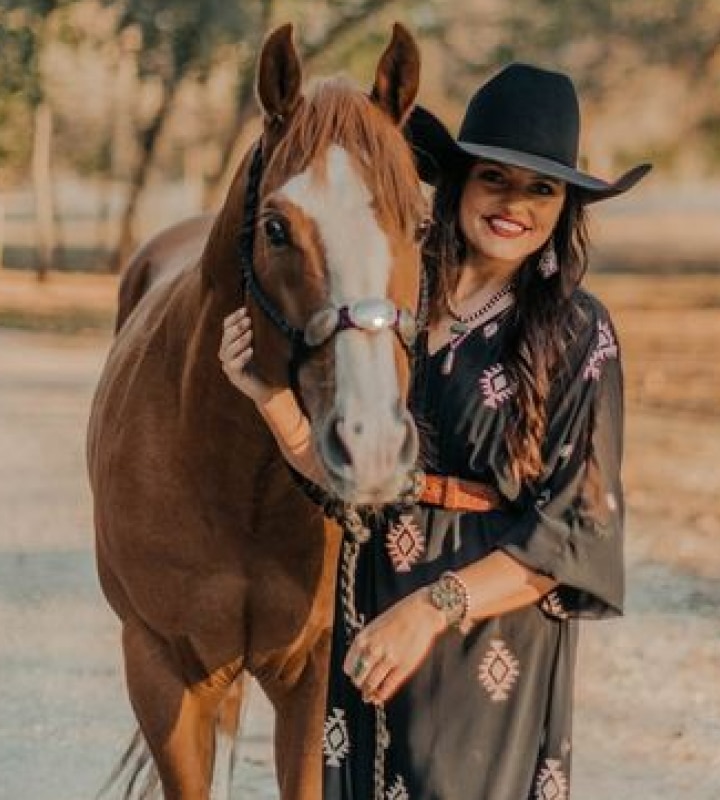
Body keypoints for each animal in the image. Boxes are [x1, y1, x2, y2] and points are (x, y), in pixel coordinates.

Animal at [90, 23, 428, 800]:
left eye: (423, 224)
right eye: (276, 228)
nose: (369, 443)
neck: (234, 477)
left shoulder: (314, 676)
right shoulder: (165, 674)